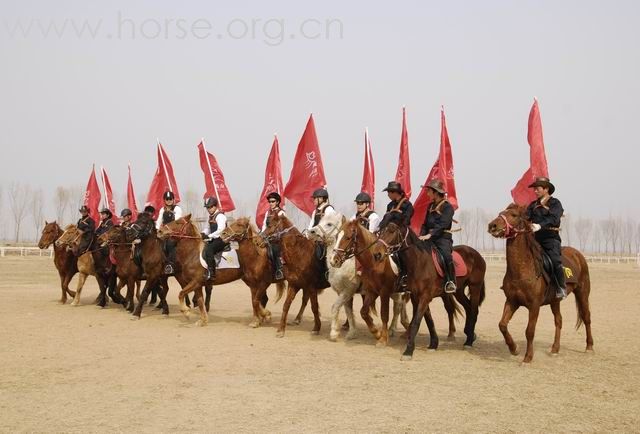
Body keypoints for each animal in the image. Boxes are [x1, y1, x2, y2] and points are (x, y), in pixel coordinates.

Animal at [306, 211, 410, 342]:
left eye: (329, 224)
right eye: (337, 236)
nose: (311, 232)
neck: (345, 264)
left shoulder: (348, 290)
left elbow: (335, 307)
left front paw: (334, 333)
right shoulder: (342, 292)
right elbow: (348, 311)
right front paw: (352, 333)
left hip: (394, 292)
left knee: (398, 305)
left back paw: (392, 329)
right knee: (400, 304)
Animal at [378, 215, 488, 362]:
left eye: (391, 230)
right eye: (380, 230)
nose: (378, 254)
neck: (419, 262)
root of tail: (476, 254)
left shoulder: (425, 296)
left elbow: (416, 322)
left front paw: (408, 351)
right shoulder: (416, 296)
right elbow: (428, 319)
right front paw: (433, 344)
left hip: (475, 287)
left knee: (474, 310)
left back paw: (469, 342)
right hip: (458, 291)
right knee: (468, 308)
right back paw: (470, 334)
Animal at [490, 203, 596, 362]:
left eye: (514, 215)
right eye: (500, 213)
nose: (492, 225)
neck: (523, 270)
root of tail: (578, 255)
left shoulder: (534, 306)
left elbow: (529, 331)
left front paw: (528, 357)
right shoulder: (512, 301)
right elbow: (502, 325)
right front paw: (514, 349)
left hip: (582, 292)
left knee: (586, 317)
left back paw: (589, 347)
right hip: (555, 301)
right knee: (559, 321)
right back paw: (555, 349)